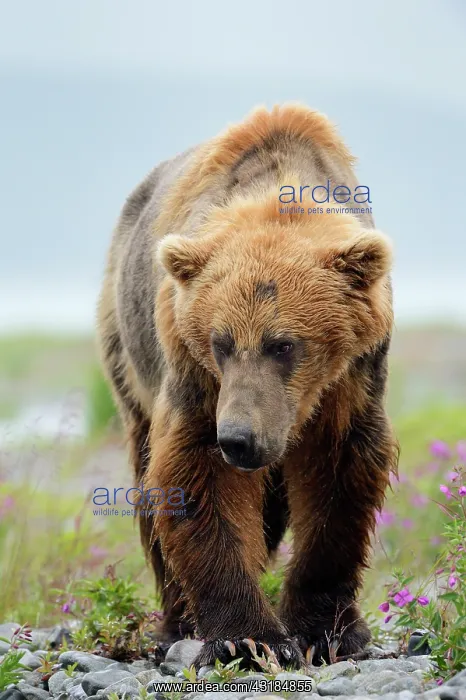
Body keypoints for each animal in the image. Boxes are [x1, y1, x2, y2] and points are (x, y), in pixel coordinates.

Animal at [96, 103, 398, 670]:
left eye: (284, 344)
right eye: (221, 342)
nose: (239, 438)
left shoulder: (352, 374)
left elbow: (340, 473)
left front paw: (326, 630)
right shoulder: (194, 371)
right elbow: (195, 474)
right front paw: (247, 637)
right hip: (125, 347)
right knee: (147, 474)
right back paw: (176, 621)